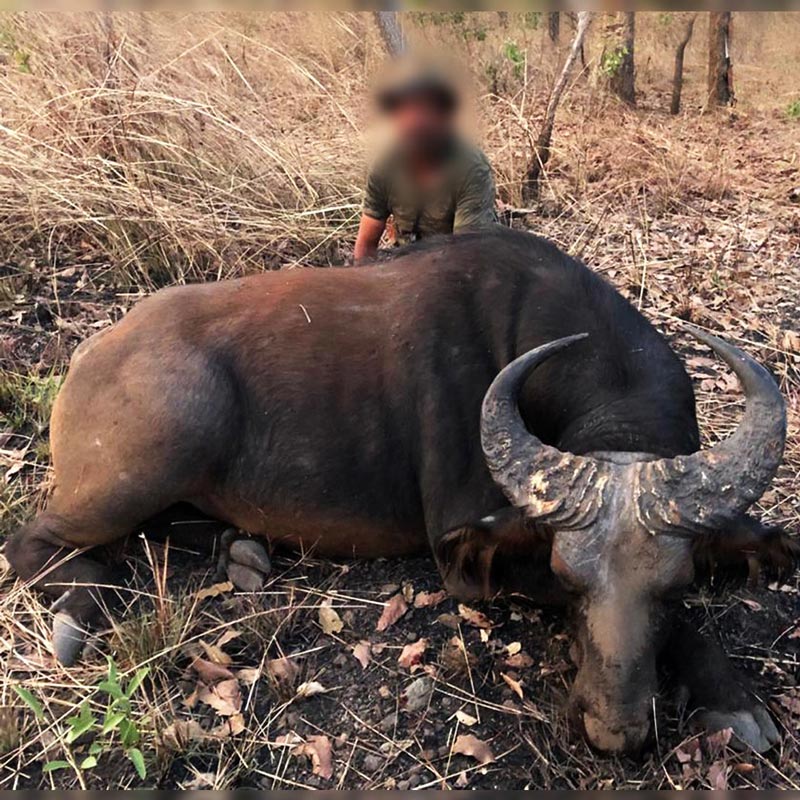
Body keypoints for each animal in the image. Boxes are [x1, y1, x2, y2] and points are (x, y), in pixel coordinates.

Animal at [4, 227, 792, 756]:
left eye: (675, 583)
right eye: (569, 579)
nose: (614, 731)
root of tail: (91, 354)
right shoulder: (466, 557)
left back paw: (238, 549)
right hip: (163, 446)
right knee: (32, 543)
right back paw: (82, 607)